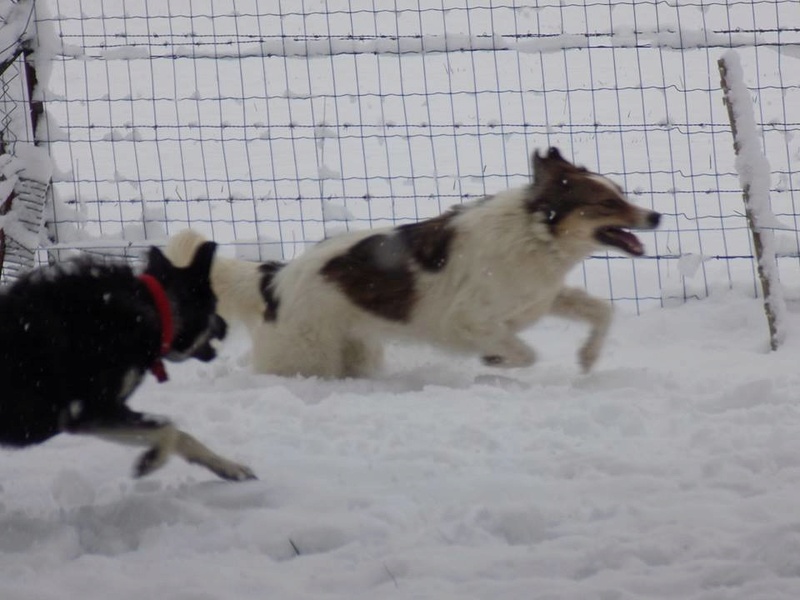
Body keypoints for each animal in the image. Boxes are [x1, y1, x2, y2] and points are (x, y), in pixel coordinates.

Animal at [0, 241, 255, 480]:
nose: (225, 325)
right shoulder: (88, 410)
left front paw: (227, 467)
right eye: (215, 305)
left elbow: (182, 435)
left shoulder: (97, 414)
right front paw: (152, 460)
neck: (154, 308)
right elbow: (168, 427)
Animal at [166, 148, 660, 378]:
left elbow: (601, 311)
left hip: (356, 351)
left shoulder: (542, 298)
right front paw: (496, 362)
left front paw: (588, 358)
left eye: (620, 192)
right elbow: (525, 352)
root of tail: (274, 278)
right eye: (606, 203)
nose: (656, 216)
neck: (535, 233)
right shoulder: (468, 319)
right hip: (307, 359)